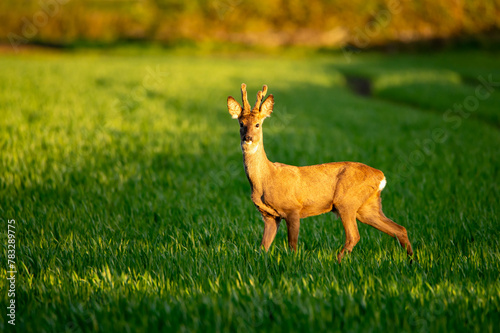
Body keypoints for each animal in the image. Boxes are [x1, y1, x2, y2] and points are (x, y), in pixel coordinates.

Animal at [228, 83, 414, 262]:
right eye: (241, 124)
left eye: (257, 124)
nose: (248, 138)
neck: (266, 178)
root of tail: (380, 176)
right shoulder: (269, 216)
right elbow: (262, 248)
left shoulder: (293, 208)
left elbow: (292, 245)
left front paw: (293, 263)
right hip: (367, 206)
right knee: (400, 229)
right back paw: (412, 261)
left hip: (347, 201)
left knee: (354, 236)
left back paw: (337, 262)